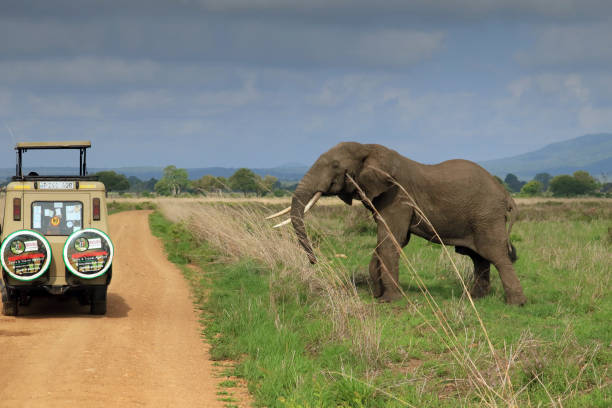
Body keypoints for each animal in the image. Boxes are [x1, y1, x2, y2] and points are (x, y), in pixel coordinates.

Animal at [268, 142, 524, 304]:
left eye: (335, 166)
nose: (314, 261)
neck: (369, 148)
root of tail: (505, 194)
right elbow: (387, 241)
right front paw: (377, 294)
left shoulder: (397, 197)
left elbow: (391, 239)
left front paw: (389, 300)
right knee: (478, 257)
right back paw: (475, 298)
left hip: (486, 215)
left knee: (495, 254)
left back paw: (515, 303)